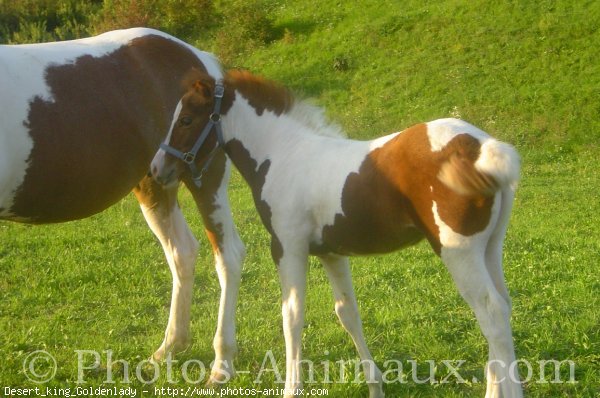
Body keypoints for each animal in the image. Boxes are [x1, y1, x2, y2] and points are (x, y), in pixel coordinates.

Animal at [0, 28, 244, 382]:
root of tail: (200, 58)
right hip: (155, 181)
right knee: (182, 252)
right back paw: (170, 347)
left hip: (205, 179)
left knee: (228, 255)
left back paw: (222, 362)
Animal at [152, 69, 524, 398]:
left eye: (186, 120)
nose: (157, 169)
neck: (282, 153)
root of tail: (481, 145)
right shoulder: (331, 253)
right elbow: (348, 313)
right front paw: (375, 387)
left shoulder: (287, 248)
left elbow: (291, 316)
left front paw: (292, 389)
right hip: (490, 249)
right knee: (503, 308)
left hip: (459, 252)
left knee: (491, 314)